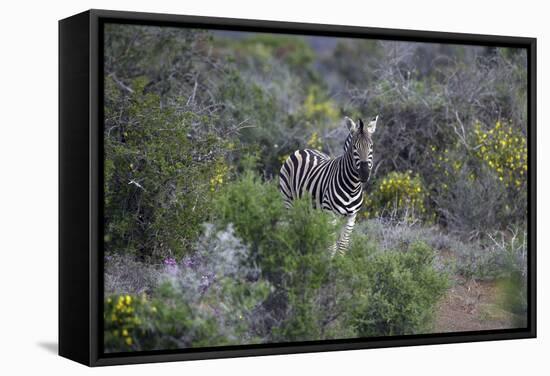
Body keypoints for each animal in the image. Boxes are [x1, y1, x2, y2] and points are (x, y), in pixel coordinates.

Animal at [280, 114, 380, 256]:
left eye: (371, 146)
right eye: (354, 147)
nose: (364, 174)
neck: (352, 187)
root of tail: (303, 149)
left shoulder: (351, 217)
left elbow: (343, 245)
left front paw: (339, 262)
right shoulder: (330, 214)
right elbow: (331, 246)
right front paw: (330, 262)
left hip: (311, 209)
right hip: (288, 201)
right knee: (292, 227)